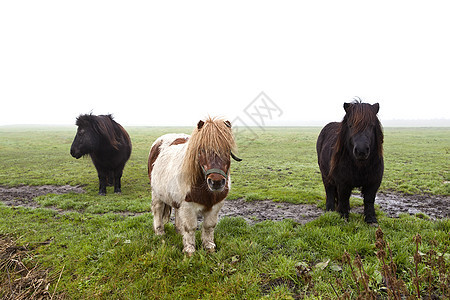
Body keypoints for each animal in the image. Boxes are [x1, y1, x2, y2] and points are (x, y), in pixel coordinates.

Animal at [149, 117, 241, 255]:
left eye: (227, 149)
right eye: (201, 149)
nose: (216, 182)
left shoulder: (215, 205)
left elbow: (209, 226)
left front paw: (209, 247)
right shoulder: (187, 205)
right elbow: (190, 227)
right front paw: (189, 250)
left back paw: (178, 232)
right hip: (156, 194)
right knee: (157, 209)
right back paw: (160, 233)